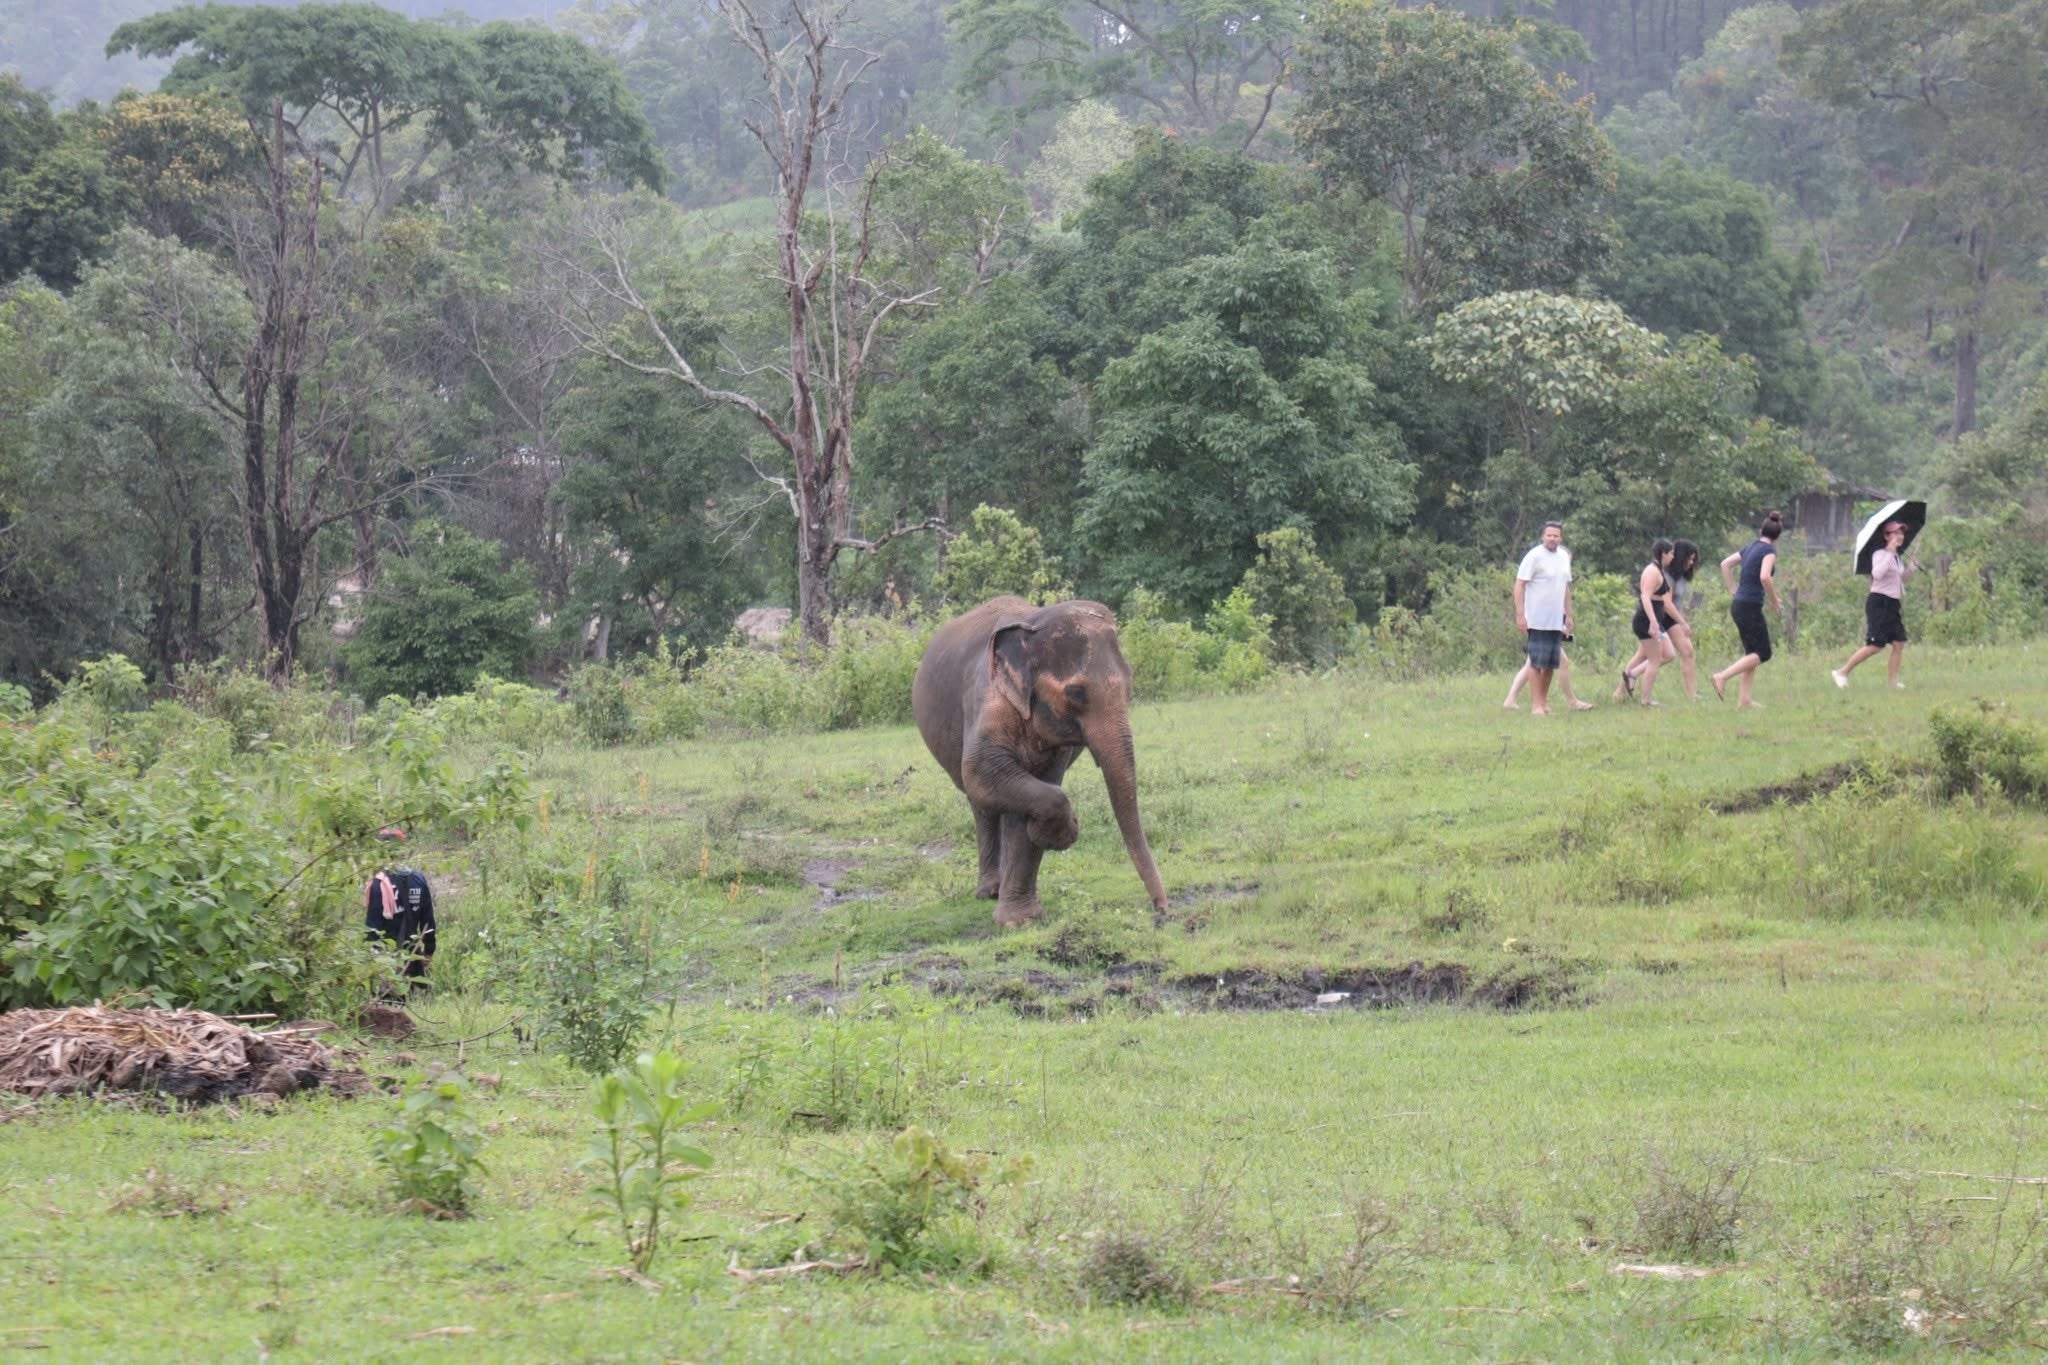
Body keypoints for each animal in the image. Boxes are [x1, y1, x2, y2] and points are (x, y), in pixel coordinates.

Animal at [912, 596, 1167, 927]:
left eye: (1131, 681)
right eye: (1076, 693)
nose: (1161, 911)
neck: (1033, 623)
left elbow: (1041, 786)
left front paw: (1021, 919)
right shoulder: (986, 695)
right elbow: (981, 771)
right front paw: (1064, 834)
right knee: (981, 802)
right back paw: (989, 891)